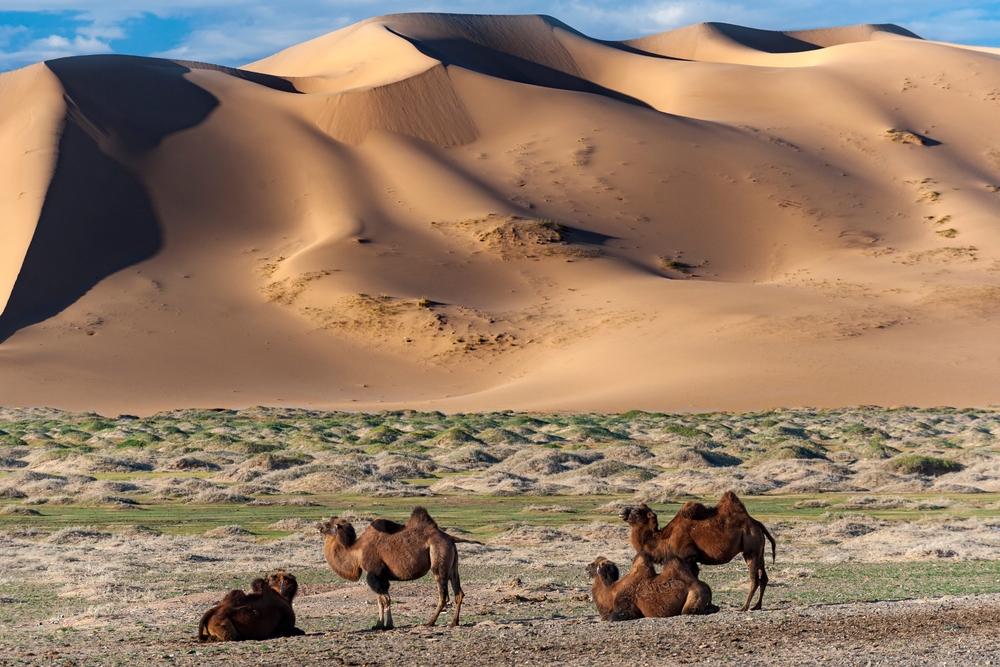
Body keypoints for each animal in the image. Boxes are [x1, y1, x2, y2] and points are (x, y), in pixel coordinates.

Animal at [316, 506, 480, 632]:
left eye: (329, 524)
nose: (318, 526)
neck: (356, 551)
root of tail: (450, 538)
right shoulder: (379, 575)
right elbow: (380, 600)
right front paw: (378, 625)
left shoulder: (375, 573)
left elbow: (385, 600)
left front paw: (387, 625)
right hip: (452, 563)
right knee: (459, 592)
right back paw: (454, 622)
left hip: (438, 559)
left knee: (443, 595)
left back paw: (430, 622)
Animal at [584, 552, 716, 624]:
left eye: (594, 565)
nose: (586, 567)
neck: (611, 592)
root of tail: (706, 586)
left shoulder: (627, 607)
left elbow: (609, 617)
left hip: (694, 596)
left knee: (689, 611)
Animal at [620, 488, 776, 612]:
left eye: (637, 511)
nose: (622, 511)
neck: (666, 538)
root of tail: (757, 524)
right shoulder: (693, 559)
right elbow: (696, 578)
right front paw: (708, 604)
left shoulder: (687, 555)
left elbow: (692, 578)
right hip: (759, 551)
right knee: (763, 577)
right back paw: (757, 606)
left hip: (751, 549)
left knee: (755, 578)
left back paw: (744, 607)